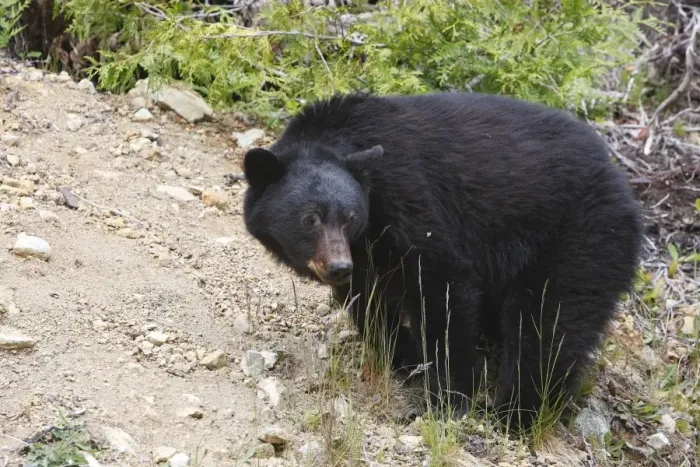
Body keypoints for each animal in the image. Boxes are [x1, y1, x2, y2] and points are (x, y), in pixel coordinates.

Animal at [241, 91, 644, 432]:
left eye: (349, 217)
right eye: (310, 219)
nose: (339, 267)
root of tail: (627, 189)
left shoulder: (410, 198)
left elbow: (444, 288)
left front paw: (446, 398)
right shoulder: (369, 254)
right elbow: (370, 304)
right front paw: (405, 355)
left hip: (580, 234)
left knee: (549, 321)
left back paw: (519, 413)